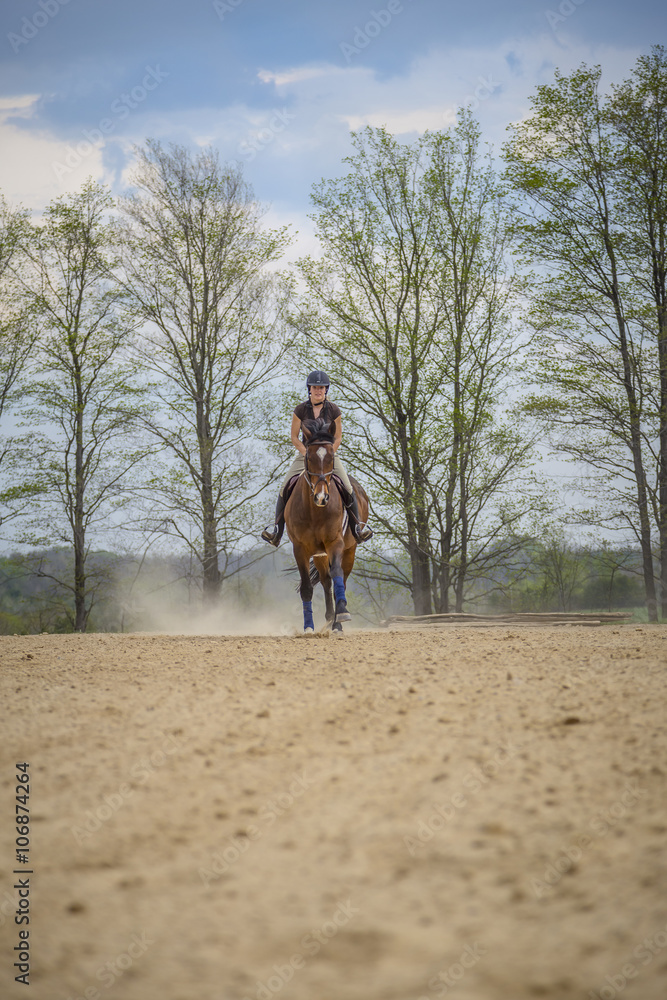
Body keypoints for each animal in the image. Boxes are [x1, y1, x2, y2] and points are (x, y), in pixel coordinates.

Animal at [284, 416, 370, 632]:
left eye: (331, 458)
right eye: (309, 458)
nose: (321, 497)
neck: (315, 510)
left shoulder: (335, 543)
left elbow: (337, 573)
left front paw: (343, 614)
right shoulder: (300, 548)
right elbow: (307, 587)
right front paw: (308, 627)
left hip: (349, 550)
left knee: (340, 579)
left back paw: (337, 622)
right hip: (319, 554)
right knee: (325, 581)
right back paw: (330, 618)